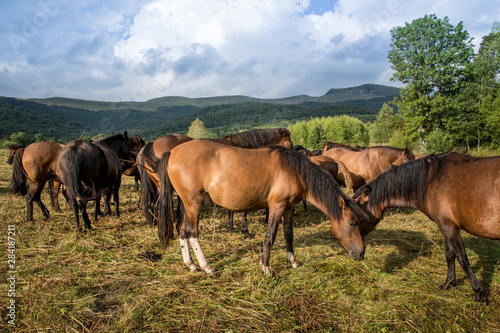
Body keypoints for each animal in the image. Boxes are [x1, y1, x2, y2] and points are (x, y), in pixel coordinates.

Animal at [155, 139, 364, 274]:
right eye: (352, 223)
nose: (361, 254)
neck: (294, 170)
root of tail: (172, 152)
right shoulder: (277, 207)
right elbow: (270, 236)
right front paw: (265, 267)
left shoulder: (289, 208)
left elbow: (288, 234)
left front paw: (292, 261)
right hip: (194, 203)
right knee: (192, 232)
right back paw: (206, 266)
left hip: (185, 203)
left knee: (182, 230)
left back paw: (190, 264)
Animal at [354, 152, 500, 302]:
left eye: (357, 211)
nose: (358, 246)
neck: (430, 180)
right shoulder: (446, 225)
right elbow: (450, 254)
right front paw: (449, 282)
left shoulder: (449, 228)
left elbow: (462, 259)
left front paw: (478, 292)